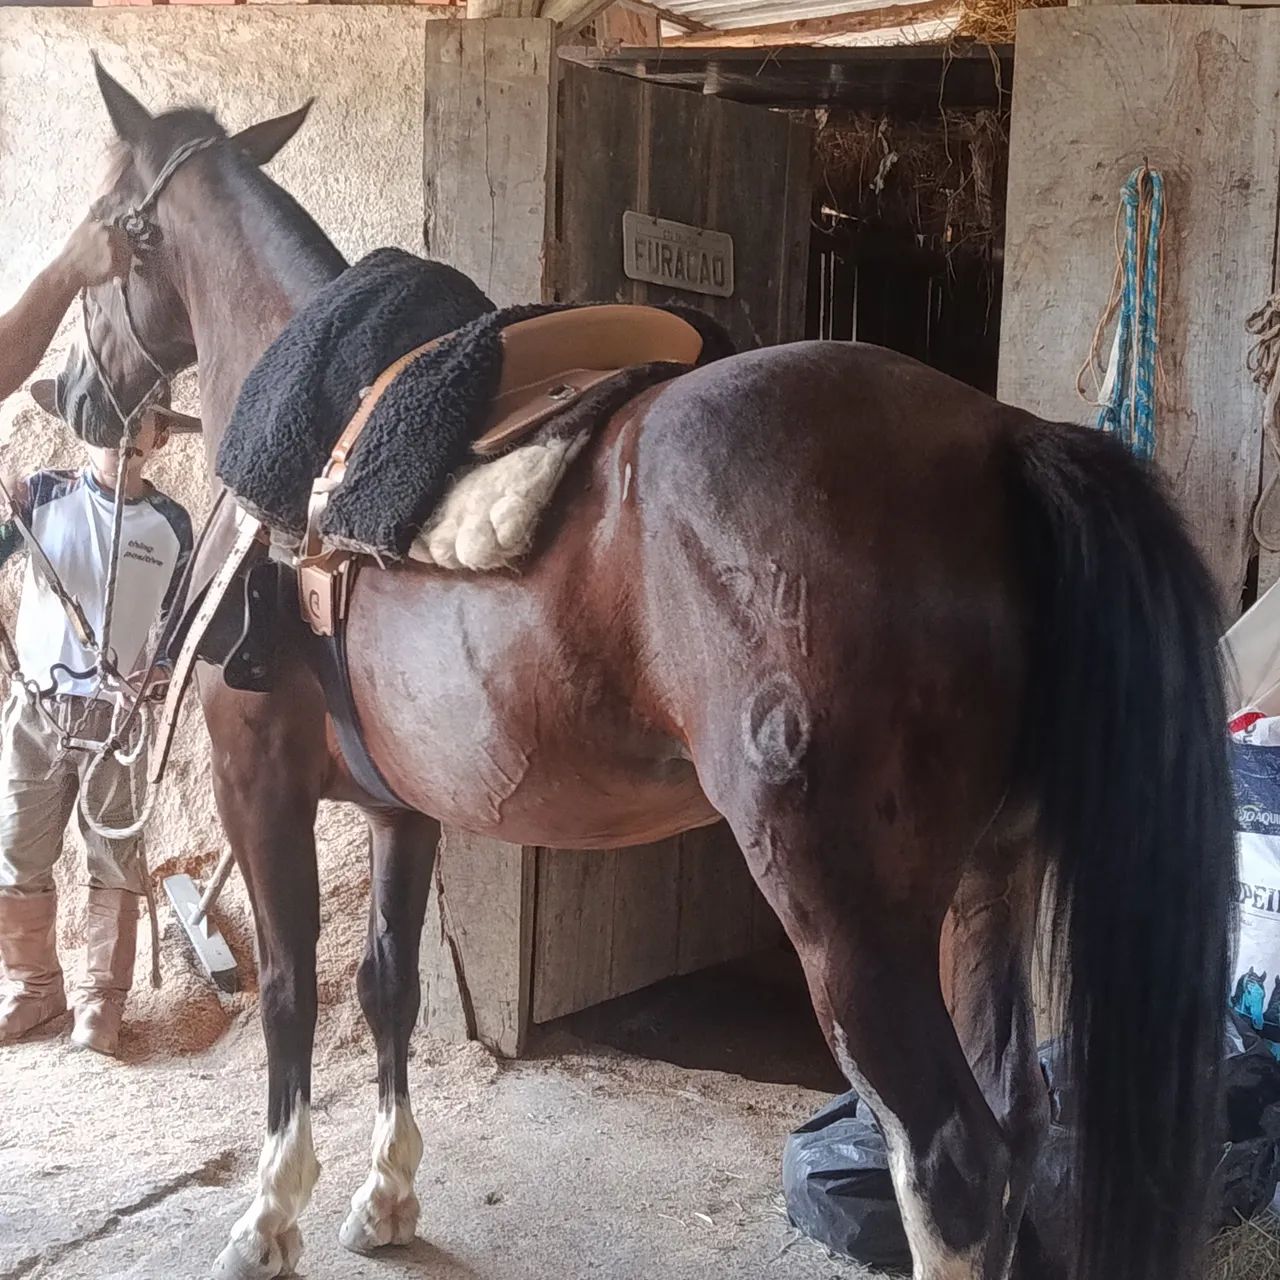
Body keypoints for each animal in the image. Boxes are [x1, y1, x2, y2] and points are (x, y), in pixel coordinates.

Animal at [43, 62, 1236, 1280]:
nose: (70, 393)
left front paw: (269, 1216)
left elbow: (289, 991)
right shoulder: (400, 806)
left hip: (848, 912)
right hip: (990, 880)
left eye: (105, 223)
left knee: (950, 1158)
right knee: (1018, 1121)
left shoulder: (260, 783)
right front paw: (386, 1198)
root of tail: (997, 440)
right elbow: (387, 985)